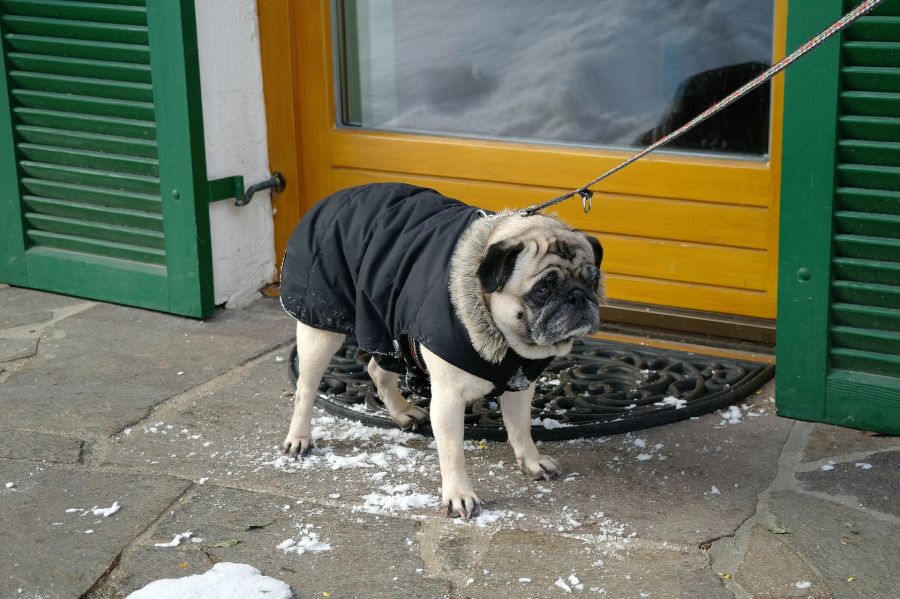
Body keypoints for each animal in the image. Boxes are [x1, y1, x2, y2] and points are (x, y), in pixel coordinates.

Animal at [280, 183, 604, 520]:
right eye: (543, 290)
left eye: (593, 280)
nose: (579, 297)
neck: (502, 341)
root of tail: (335, 197)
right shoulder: (448, 398)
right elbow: (452, 451)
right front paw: (459, 495)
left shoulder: (520, 384)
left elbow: (520, 428)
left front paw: (531, 460)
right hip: (321, 327)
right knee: (306, 388)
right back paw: (300, 438)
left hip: (387, 321)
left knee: (376, 369)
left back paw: (401, 411)